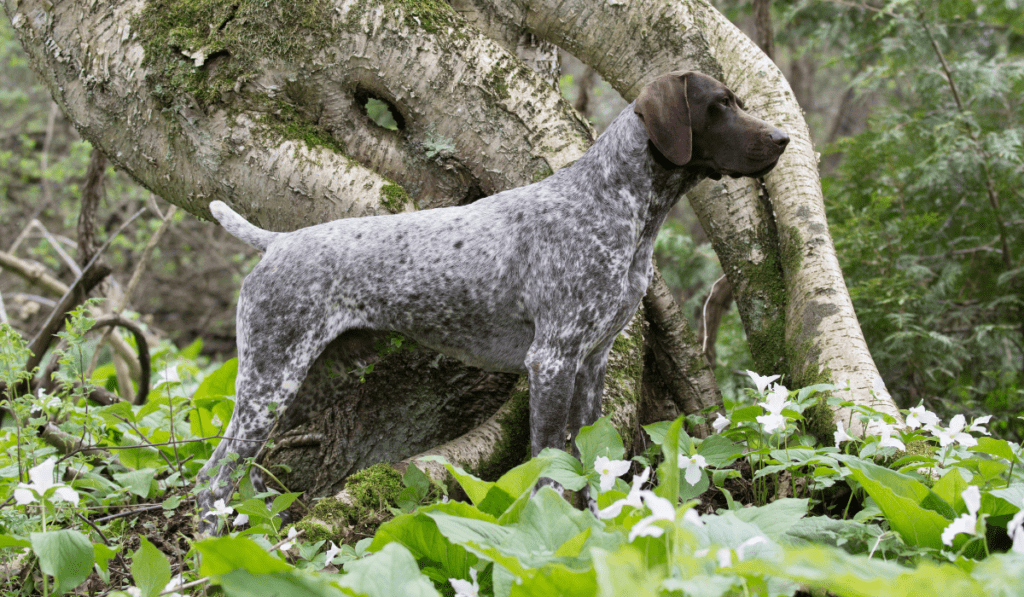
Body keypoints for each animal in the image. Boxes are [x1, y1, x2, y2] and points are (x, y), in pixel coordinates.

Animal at [197, 71, 790, 528]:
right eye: (720, 105)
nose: (784, 137)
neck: (616, 205)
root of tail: (278, 241)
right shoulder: (551, 362)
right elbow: (548, 464)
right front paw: (546, 531)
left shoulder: (591, 363)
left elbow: (590, 462)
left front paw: (593, 534)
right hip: (272, 381)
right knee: (213, 481)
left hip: (294, 386)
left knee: (216, 471)